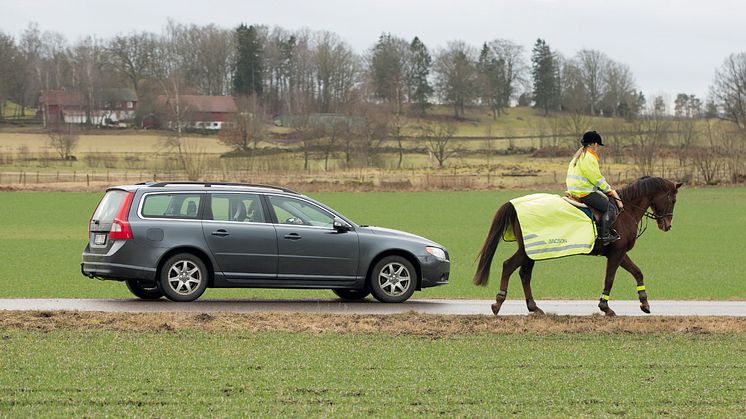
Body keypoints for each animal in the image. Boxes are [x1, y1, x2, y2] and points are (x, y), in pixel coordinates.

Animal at [470, 176, 680, 316]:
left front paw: (644, 303)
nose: (667, 225)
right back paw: (498, 303)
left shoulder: (620, 254)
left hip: (532, 251)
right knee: (509, 266)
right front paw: (605, 307)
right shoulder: (616, 253)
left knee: (524, 274)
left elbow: (637, 272)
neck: (625, 210)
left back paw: (533, 307)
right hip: (527, 250)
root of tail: (514, 204)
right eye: (673, 200)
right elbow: (610, 278)